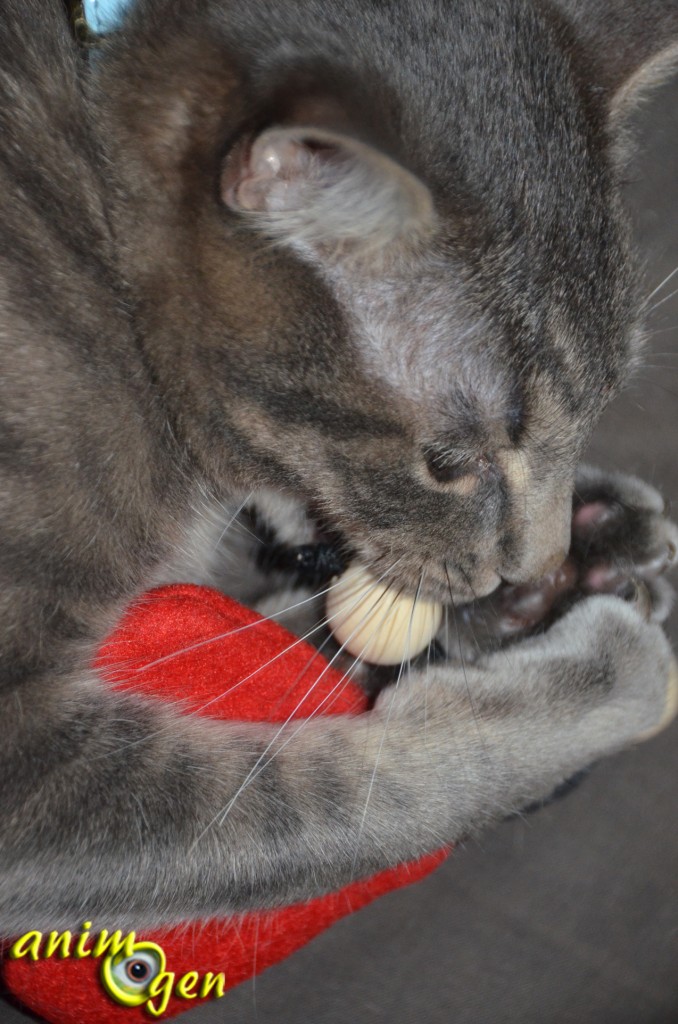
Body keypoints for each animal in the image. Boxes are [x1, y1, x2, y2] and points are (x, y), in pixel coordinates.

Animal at [1, 0, 678, 933]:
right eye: (448, 461)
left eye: (600, 406)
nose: (535, 566)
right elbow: (347, 805)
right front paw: (596, 688)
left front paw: (573, 558)